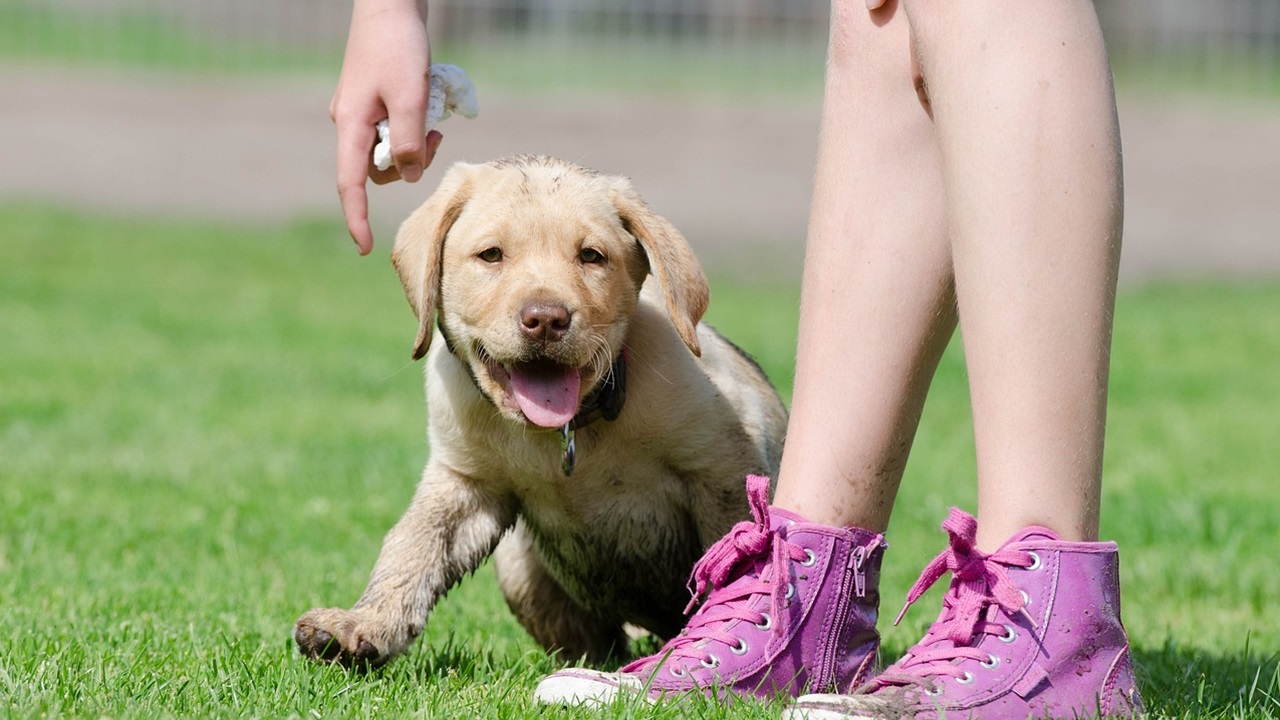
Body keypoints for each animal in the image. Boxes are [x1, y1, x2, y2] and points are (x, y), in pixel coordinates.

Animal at [293, 154, 783, 666]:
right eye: (491, 255)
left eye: (592, 256)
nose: (546, 320)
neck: (567, 431)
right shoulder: (464, 482)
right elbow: (411, 547)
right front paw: (365, 623)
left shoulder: (723, 470)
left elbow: (735, 557)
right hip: (518, 567)